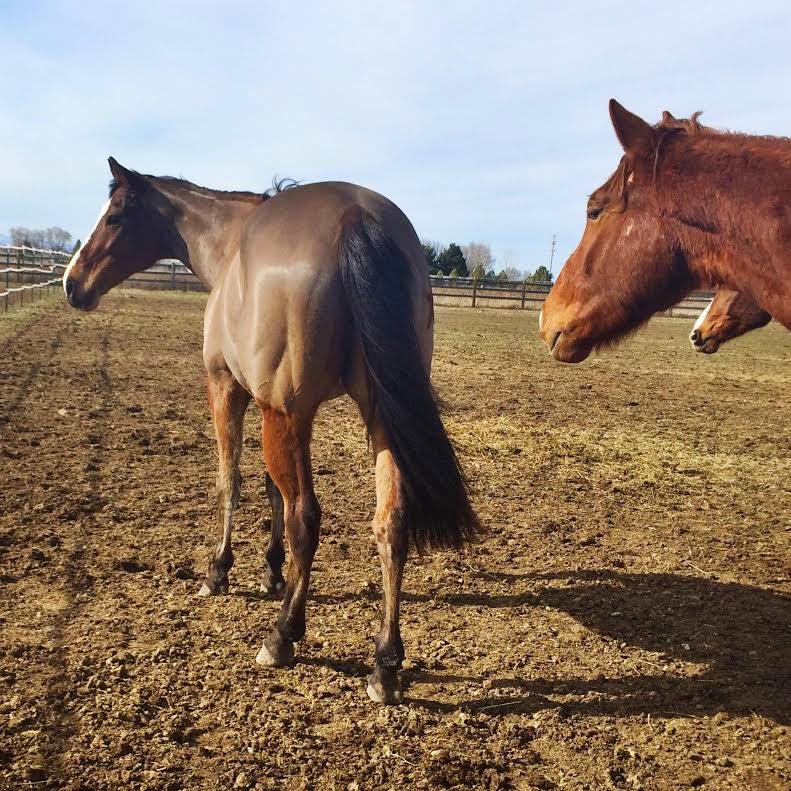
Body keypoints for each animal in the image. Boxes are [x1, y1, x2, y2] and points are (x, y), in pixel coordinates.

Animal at [63, 158, 480, 703]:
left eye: (113, 215)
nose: (72, 283)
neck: (231, 246)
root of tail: (356, 216)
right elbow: (270, 491)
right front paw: (271, 570)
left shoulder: (230, 391)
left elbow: (232, 483)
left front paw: (219, 571)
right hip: (378, 416)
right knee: (391, 520)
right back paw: (385, 663)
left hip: (285, 415)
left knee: (308, 517)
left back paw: (283, 634)